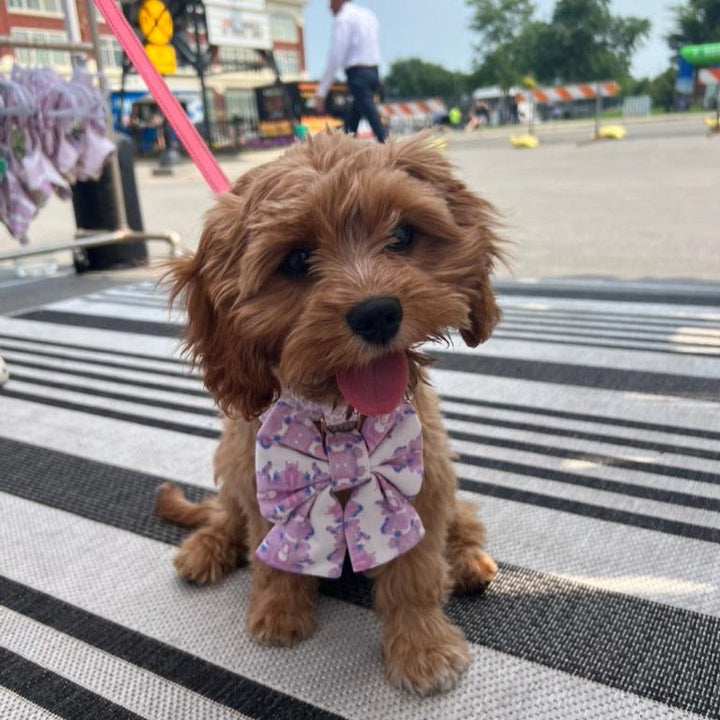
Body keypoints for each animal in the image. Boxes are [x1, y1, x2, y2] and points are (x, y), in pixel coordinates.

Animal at [156, 132, 506, 696]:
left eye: (402, 234)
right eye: (297, 259)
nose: (378, 312)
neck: (341, 420)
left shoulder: (416, 484)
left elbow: (414, 574)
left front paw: (424, 649)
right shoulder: (267, 486)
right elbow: (273, 559)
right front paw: (279, 613)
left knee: (466, 519)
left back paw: (470, 561)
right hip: (231, 461)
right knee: (225, 516)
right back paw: (204, 548)